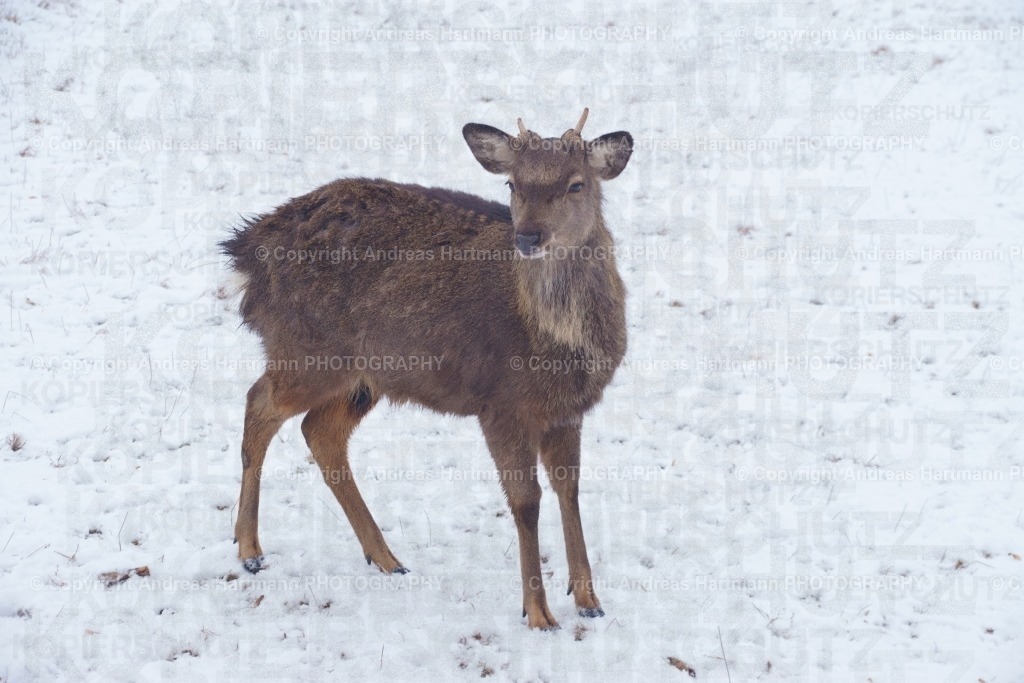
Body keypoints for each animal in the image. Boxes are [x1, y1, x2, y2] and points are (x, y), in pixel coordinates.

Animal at [220, 109, 633, 629]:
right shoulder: (501, 404)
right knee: (259, 403)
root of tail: (245, 252)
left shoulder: (566, 410)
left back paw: (385, 557)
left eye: (576, 184)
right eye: (513, 184)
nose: (527, 237)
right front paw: (538, 613)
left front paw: (588, 600)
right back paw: (250, 549)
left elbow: (570, 490)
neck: (557, 344)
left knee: (319, 432)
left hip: (362, 377)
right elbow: (526, 502)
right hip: (307, 352)